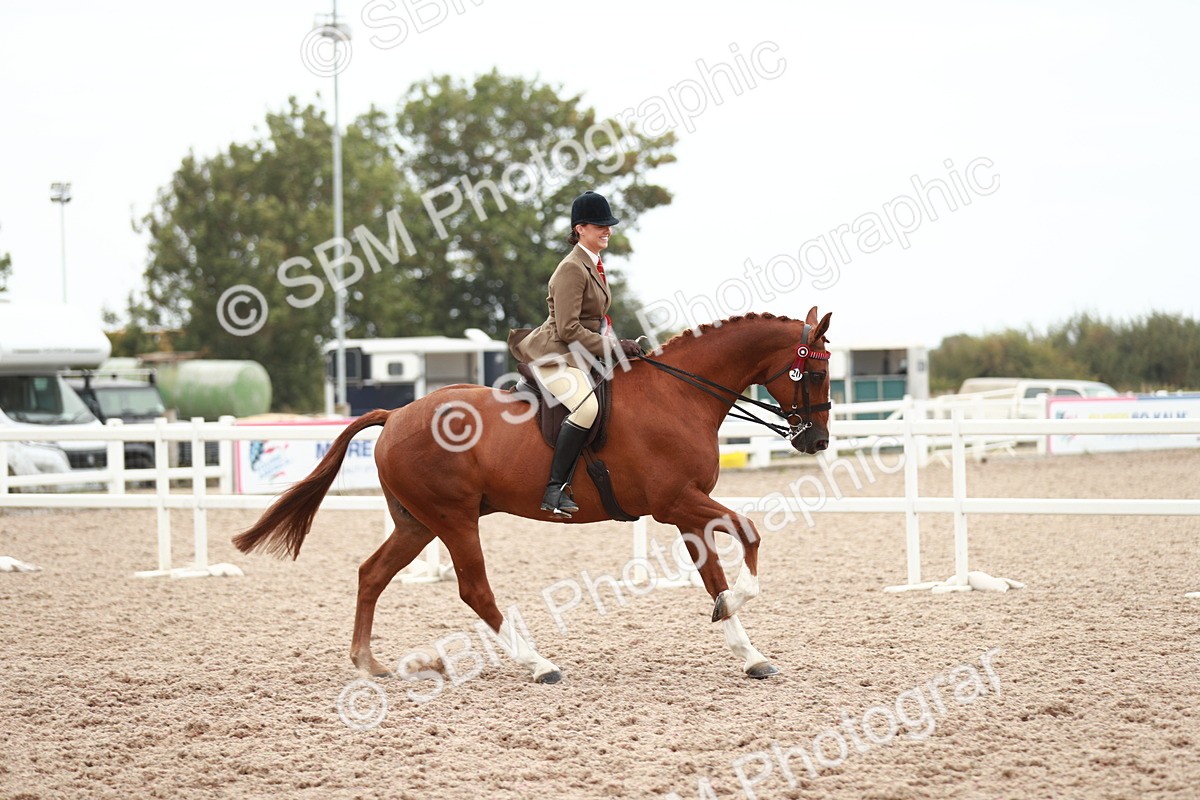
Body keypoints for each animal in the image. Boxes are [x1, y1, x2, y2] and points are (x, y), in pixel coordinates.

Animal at [232, 307, 833, 683]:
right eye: (815, 373)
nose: (817, 440)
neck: (679, 392)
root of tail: (397, 412)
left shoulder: (686, 509)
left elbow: (714, 573)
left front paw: (748, 652)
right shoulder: (676, 502)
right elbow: (750, 534)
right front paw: (736, 608)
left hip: (416, 522)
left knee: (372, 574)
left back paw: (368, 663)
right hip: (453, 520)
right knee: (474, 590)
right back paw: (538, 663)